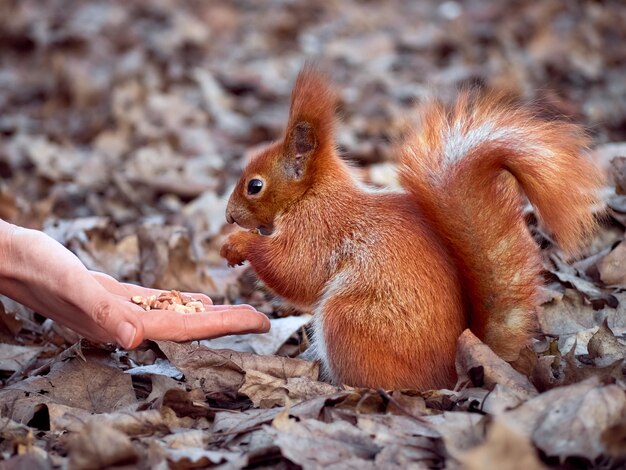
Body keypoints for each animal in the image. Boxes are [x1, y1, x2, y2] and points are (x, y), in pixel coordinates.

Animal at [218, 66, 600, 390]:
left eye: (255, 186)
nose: (230, 216)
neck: (312, 194)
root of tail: (450, 373)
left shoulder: (319, 229)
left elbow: (296, 271)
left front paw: (237, 244)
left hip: (350, 323)